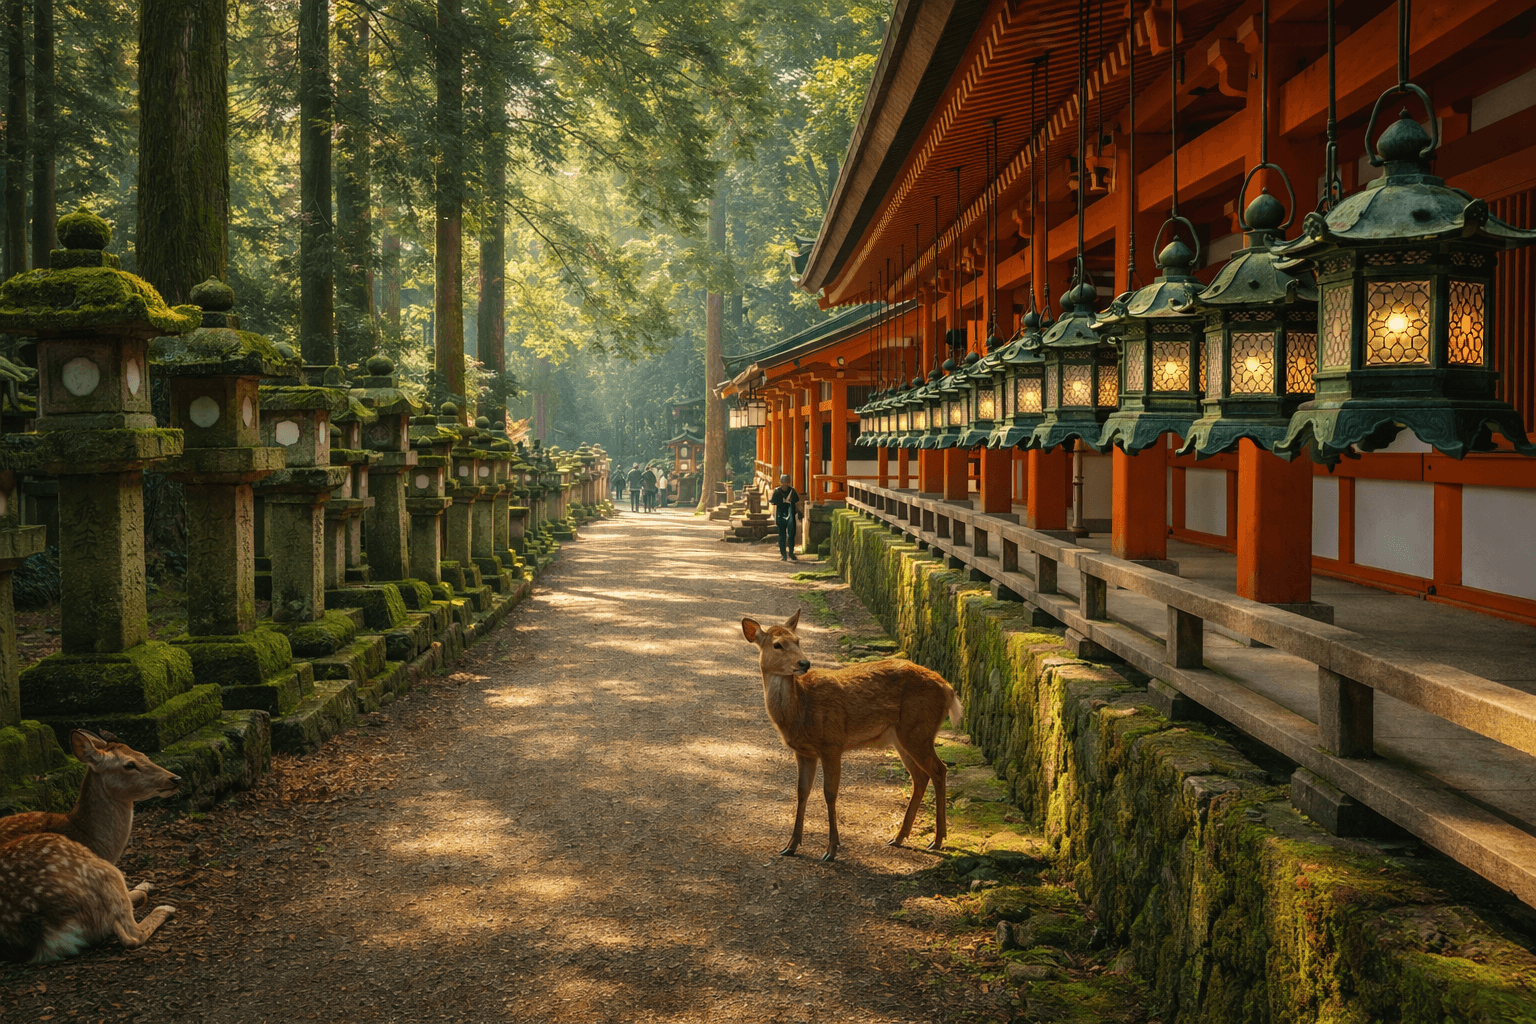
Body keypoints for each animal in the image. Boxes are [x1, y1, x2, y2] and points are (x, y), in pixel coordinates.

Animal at [0, 730, 180, 962]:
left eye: (144, 755)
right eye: (129, 764)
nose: (176, 778)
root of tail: (48, 935)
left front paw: (146, 884)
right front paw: (148, 888)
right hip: (101, 870)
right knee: (132, 935)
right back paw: (166, 908)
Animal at [742, 610, 963, 862]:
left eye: (798, 641)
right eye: (777, 644)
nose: (804, 663)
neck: (801, 710)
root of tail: (949, 690)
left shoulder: (832, 743)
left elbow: (829, 793)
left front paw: (831, 849)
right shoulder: (804, 752)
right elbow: (801, 792)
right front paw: (791, 845)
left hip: (919, 730)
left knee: (939, 769)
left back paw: (937, 840)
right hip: (902, 737)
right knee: (920, 776)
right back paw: (899, 837)